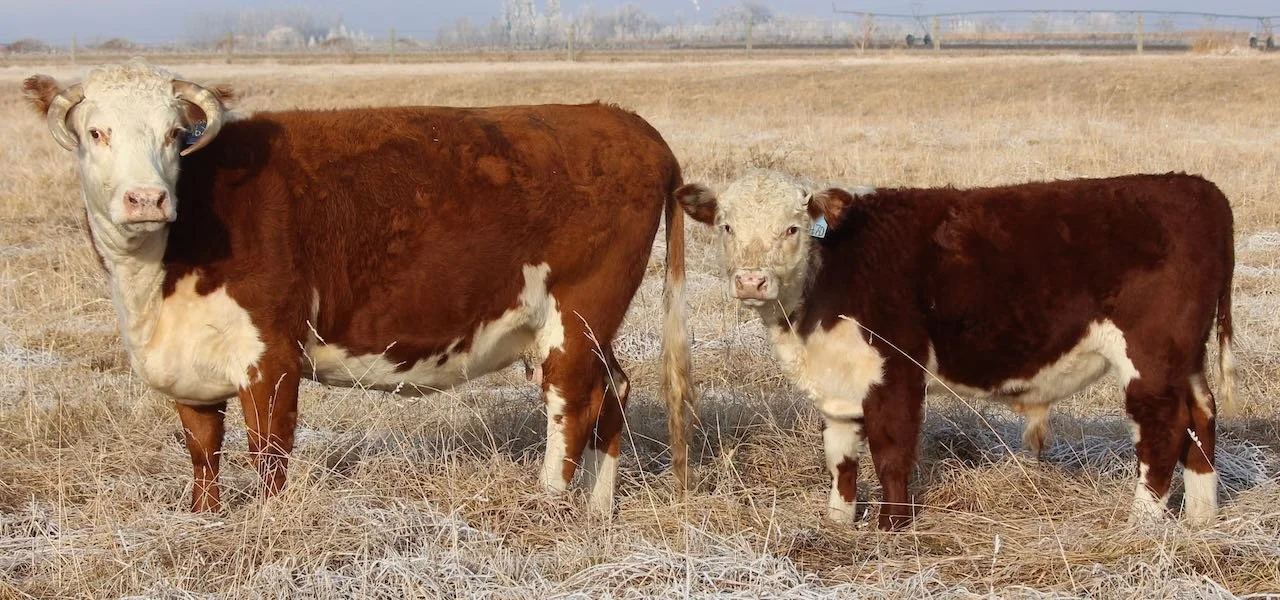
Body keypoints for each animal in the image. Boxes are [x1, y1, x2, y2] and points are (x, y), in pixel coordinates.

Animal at [22, 59, 695, 516]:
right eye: (97, 133)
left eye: (171, 134)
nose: (146, 199)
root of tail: (620, 120)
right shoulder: (189, 365)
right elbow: (202, 451)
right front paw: (204, 518)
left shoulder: (271, 355)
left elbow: (268, 452)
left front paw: (271, 523)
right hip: (592, 324)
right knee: (614, 389)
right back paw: (598, 507)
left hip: (578, 313)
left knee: (572, 402)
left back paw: (549, 501)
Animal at [676, 169, 1236, 530]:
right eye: (726, 226)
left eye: (792, 228)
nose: (751, 281)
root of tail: (1197, 188)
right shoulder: (838, 381)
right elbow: (840, 456)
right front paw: (837, 522)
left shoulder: (896, 368)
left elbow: (891, 451)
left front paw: (892, 528)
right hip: (1185, 358)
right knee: (1201, 416)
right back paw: (1202, 516)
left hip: (1149, 356)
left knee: (1162, 427)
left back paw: (1141, 520)